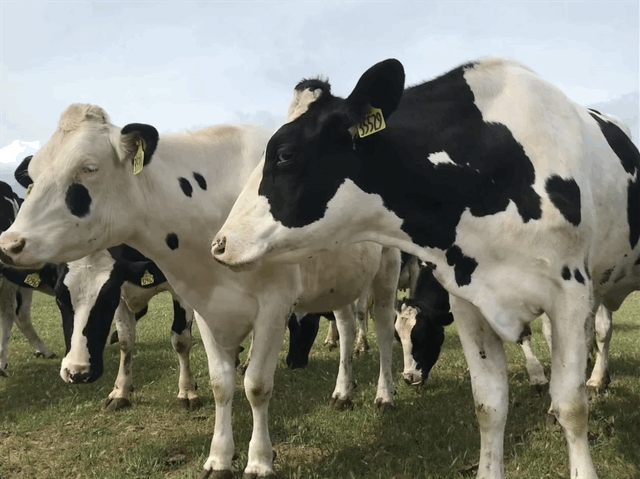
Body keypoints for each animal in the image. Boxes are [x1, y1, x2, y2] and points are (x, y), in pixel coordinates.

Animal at [0, 106, 402, 479]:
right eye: (32, 178)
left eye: (89, 167)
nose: (10, 241)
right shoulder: (206, 305)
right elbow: (221, 383)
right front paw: (219, 458)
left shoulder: (273, 307)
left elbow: (256, 385)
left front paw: (259, 462)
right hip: (341, 281)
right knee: (347, 328)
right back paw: (343, 392)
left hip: (389, 269)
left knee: (384, 329)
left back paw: (384, 395)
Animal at [211, 57, 640, 479]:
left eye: (284, 154)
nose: (220, 243)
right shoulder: (469, 303)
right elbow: (489, 405)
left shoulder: (567, 296)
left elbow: (572, 406)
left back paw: (594, 378)